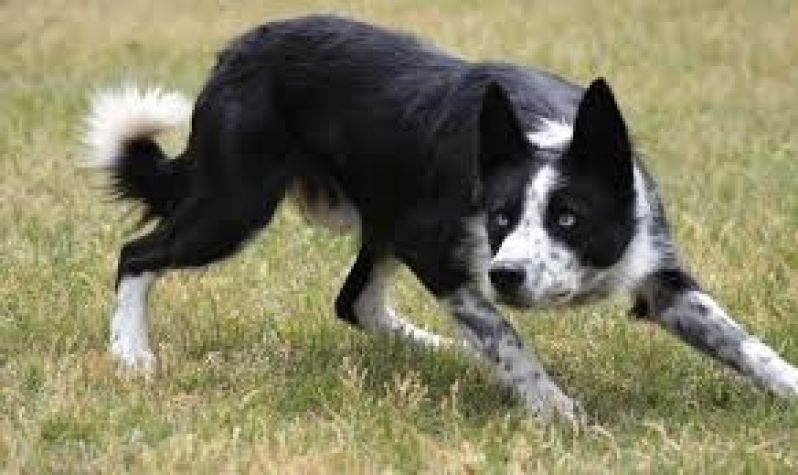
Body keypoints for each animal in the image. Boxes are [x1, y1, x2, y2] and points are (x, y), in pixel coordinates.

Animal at [83, 13, 798, 420]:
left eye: (569, 217)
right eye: (501, 217)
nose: (507, 276)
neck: (551, 133)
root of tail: (235, 52)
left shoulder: (656, 271)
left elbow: (744, 343)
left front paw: (790, 387)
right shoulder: (436, 248)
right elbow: (508, 338)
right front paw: (555, 410)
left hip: (377, 216)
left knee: (356, 303)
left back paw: (440, 348)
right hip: (235, 206)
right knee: (136, 254)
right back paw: (132, 354)